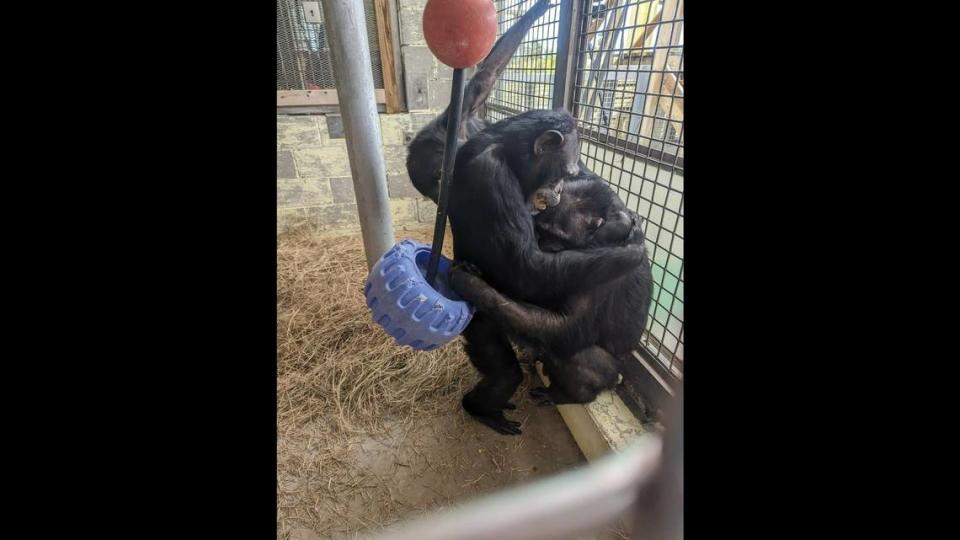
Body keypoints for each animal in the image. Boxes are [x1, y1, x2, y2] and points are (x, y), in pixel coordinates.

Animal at [446, 109, 648, 434]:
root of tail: (617, 380)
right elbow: (528, 269)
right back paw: (484, 408)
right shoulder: (491, 174)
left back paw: (565, 395)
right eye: (542, 232)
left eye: (555, 237)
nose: (557, 190)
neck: (508, 153)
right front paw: (630, 248)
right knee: (504, 367)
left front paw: (466, 281)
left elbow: (566, 326)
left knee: (574, 358)